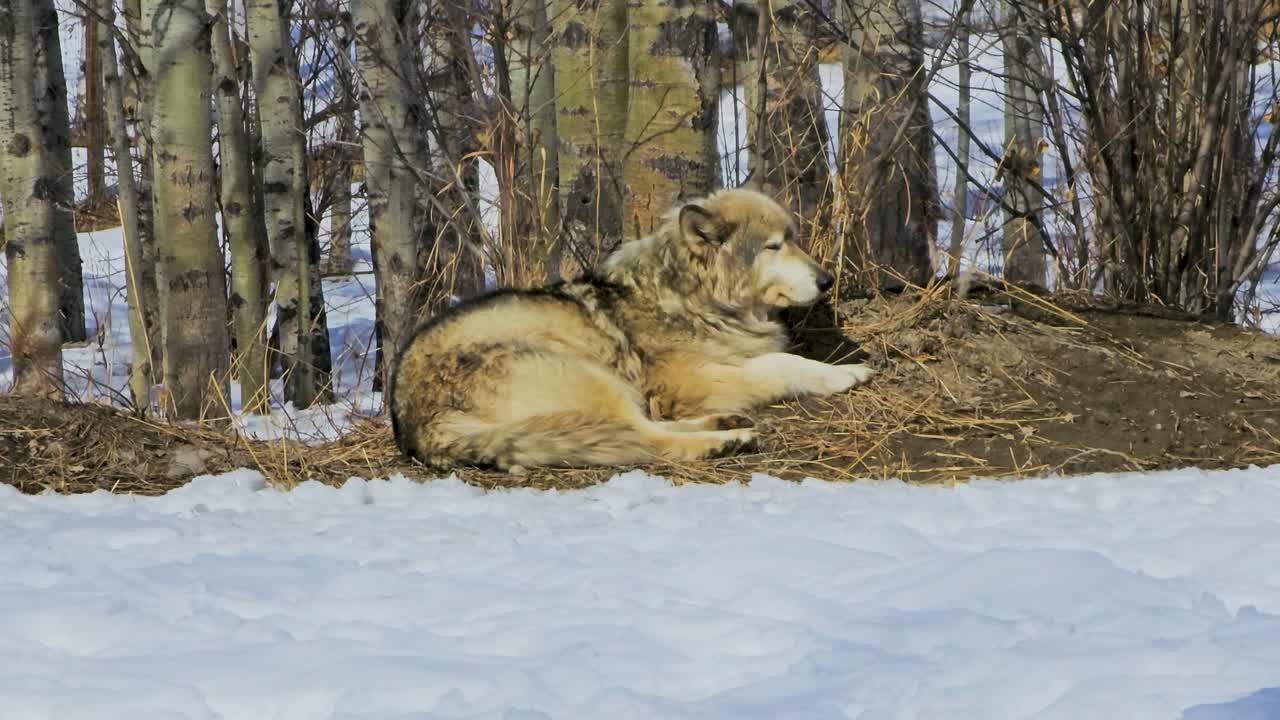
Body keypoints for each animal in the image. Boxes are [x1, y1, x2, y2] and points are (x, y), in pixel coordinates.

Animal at [389, 187, 876, 470]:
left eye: (794, 239)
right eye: (774, 246)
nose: (827, 280)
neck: (693, 299)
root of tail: (416, 427)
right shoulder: (684, 382)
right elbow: (779, 362)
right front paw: (845, 373)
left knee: (643, 427)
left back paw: (724, 424)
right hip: (591, 375)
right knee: (646, 439)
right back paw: (724, 441)